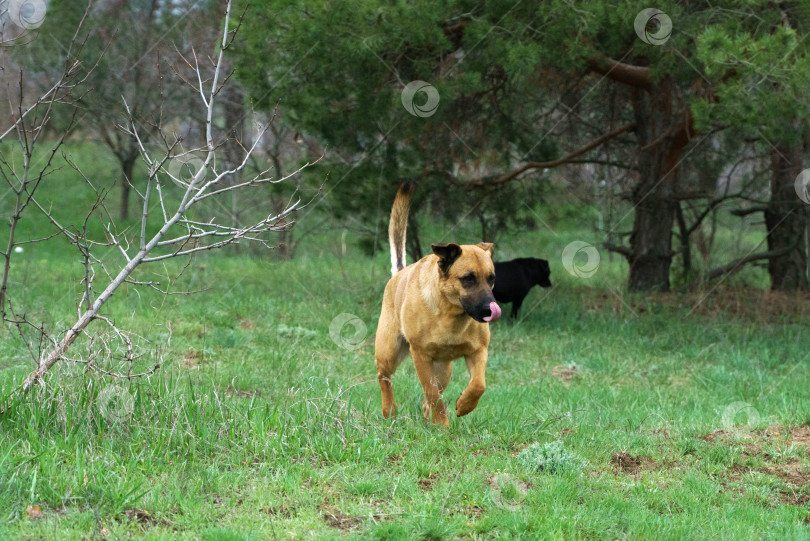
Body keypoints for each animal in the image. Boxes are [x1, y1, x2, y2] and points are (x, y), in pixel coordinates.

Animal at [376, 184, 502, 424]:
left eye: (491, 278)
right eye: (468, 278)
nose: (490, 310)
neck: (450, 315)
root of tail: (398, 274)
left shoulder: (478, 351)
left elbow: (479, 385)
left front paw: (464, 404)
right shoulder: (420, 355)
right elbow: (432, 393)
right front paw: (443, 425)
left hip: (443, 370)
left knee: (430, 396)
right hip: (389, 351)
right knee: (384, 376)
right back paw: (389, 410)